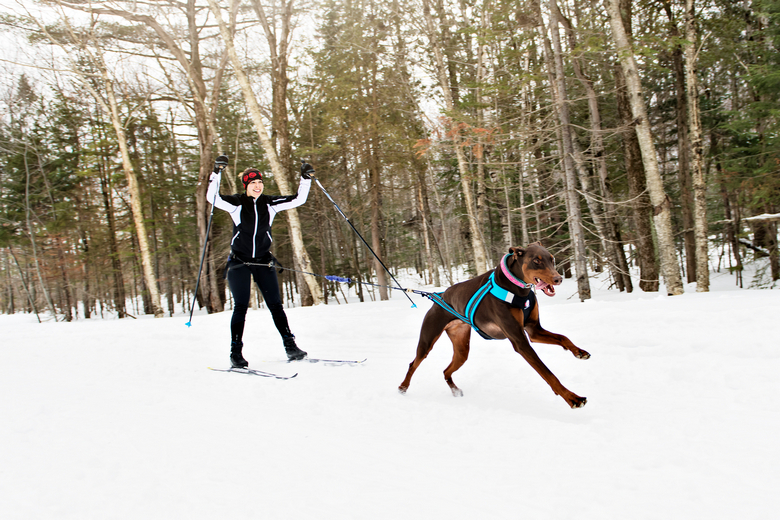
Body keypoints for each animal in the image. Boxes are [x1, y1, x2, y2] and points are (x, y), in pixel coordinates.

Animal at [400, 242, 588, 408]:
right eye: (537, 260)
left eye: (552, 259)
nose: (558, 278)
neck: (517, 288)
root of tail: (438, 297)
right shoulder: (520, 341)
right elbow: (549, 374)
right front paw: (573, 398)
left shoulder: (534, 330)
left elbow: (563, 337)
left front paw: (579, 352)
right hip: (427, 340)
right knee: (413, 364)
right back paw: (403, 387)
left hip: (461, 349)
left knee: (446, 371)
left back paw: (455, 390)